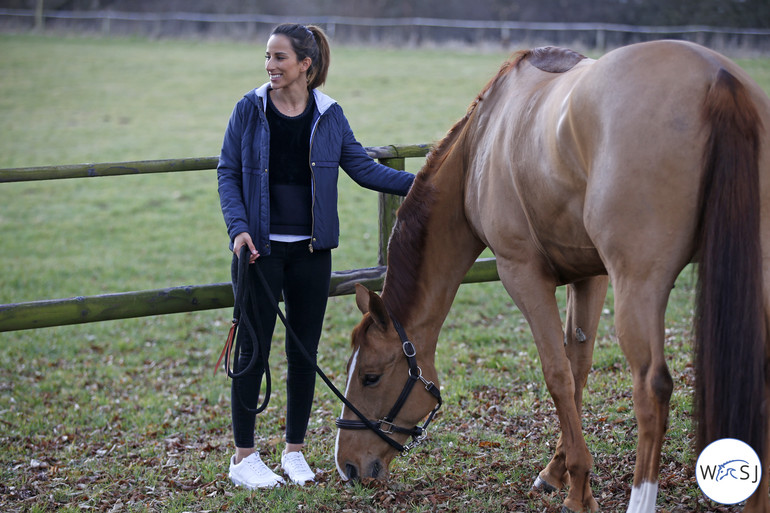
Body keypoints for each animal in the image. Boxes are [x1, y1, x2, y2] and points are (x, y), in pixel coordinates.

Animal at [332, 40, 768, 512]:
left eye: (370, 376)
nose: (347, 466)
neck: (479, 148)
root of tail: (717, 79)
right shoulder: (590, 277)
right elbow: (578, 368)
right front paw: (559, 472)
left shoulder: (522, 274)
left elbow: (557, 374)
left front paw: (577, 491)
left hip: (640, 286)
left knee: (652, 389)